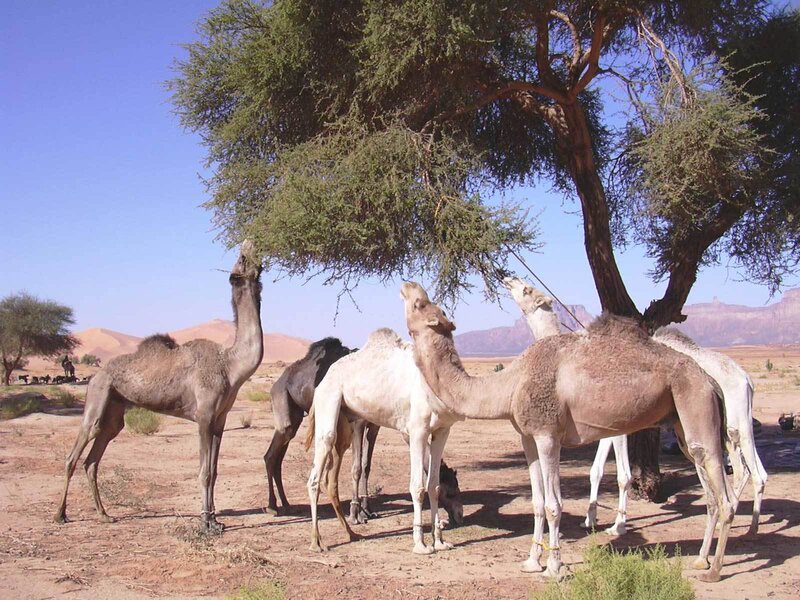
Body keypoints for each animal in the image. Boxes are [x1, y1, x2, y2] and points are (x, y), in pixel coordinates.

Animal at [55, 241, 264, 532]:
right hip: (97, 398)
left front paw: (215, 519)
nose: (249, 244)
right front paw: (205, 522)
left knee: (93, 459)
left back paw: (104, 514)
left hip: (114, 410)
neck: (230, 366)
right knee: (75, 452)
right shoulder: (204, 416)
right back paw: (60, 515)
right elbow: (204, 472)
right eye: (241, 262)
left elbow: (214, 471)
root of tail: (96, 375)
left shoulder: (220, 420)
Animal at [306, 328, 464, 554]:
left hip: (345, 421)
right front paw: (421, 545)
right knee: (315, 476)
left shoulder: (441, 430)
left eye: (456, 489)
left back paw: (352, 534)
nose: (460, 515)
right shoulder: (415, 430)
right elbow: (418, 487)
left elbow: (433, 486)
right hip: (329, 403)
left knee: (330, 478)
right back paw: (316, 542)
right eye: (451, 493)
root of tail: (322, 382)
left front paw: (440, 542)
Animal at [401, 281, 735, 582]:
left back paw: (714, 571)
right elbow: (536, 503)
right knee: (711, 491)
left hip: (696, 403)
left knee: (725, 496)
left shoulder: (549, 436)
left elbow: (553, 505)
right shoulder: (528, 437)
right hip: (682, 424)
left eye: (421, 303)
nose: (407, 284)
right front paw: (531, 561)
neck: (510, 384)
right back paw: (701, 560)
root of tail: (710, 380)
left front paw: (554, 568)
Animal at [504, 276, 767, 537]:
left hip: (731, 420)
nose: (509, 278)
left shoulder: (616, 426)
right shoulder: (601, 425)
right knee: (749, 470)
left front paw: (618, 526)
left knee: (745, 469)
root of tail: (746, 378)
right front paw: (590, 520)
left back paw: (745, 526)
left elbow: (623, 475)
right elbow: (595, 470)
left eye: (527, 289)